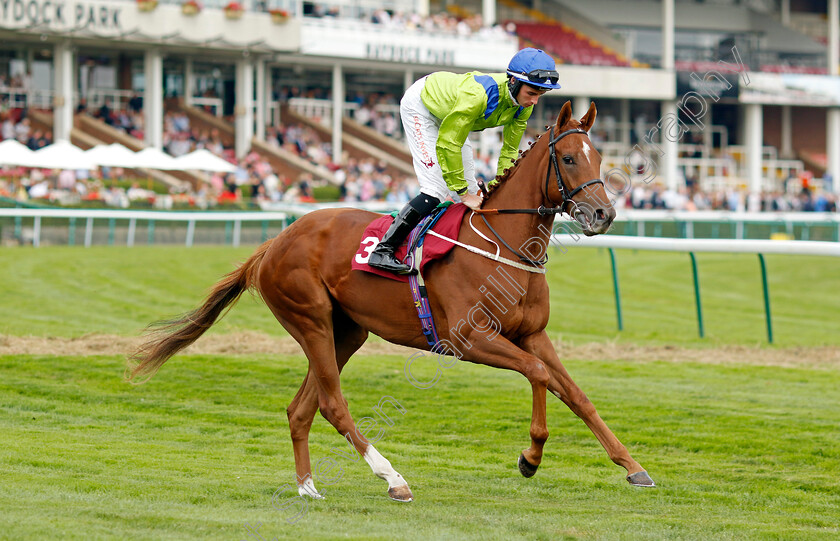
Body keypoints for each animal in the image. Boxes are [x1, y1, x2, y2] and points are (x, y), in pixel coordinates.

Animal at [130, 99, 656, 500]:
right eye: (568, 159)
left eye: (599, 157)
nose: (604, 214)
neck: (502, 244)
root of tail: (275, 241)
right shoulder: (470, 338)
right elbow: (540, 375)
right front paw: (530, 456)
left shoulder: (533, 333)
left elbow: (577, 394)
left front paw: (632, 466)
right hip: (310, 319)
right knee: (332, 405)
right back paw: (393, 478)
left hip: (345, 331)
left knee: (301, 408)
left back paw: (307, 487)